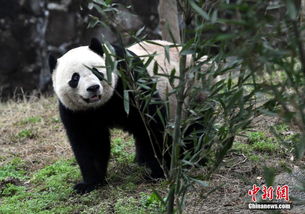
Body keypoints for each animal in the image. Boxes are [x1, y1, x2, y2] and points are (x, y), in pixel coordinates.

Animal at [48, 38, 191, 194]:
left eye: (96, 71)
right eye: (75, 78)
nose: (93, 88)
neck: (100, 105)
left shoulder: (129, 82)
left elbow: (152, 124)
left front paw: (159, 172)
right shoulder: (77, 112)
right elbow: (89, 142)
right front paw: (89, 184)